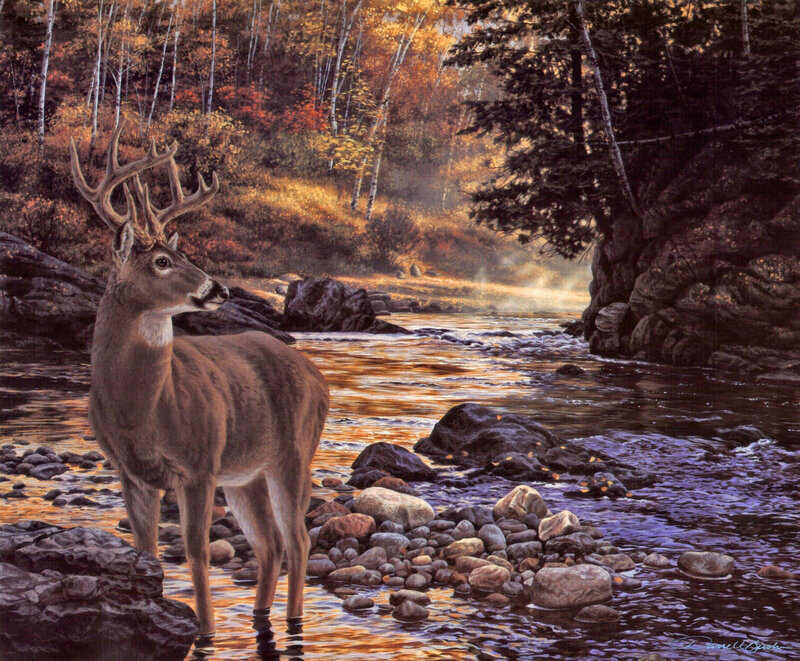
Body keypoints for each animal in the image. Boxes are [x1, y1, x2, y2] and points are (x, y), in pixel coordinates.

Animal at [69, 121, 329, 638]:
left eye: (182, 252)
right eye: (162, 262)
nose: (219, 289)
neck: (142, 410)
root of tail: (319, 378)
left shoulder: (199, 465)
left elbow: (195, 553)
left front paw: (205, 633)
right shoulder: (131, 473)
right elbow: (146, 551)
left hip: (292, 456)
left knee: (299, 540)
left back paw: (292, 622)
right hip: (247, 473)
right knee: (270, 544)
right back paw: (260, 616)